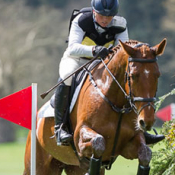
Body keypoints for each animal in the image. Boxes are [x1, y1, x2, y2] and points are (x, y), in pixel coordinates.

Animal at [23, 38, 167, 175]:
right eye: (132, 76)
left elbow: (145, 154)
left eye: (158, 75)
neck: (117, 104)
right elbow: (99, 143)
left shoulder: (130, 143)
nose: (147, 121)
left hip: (73, 167)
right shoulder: (81, 137)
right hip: (39, 165)